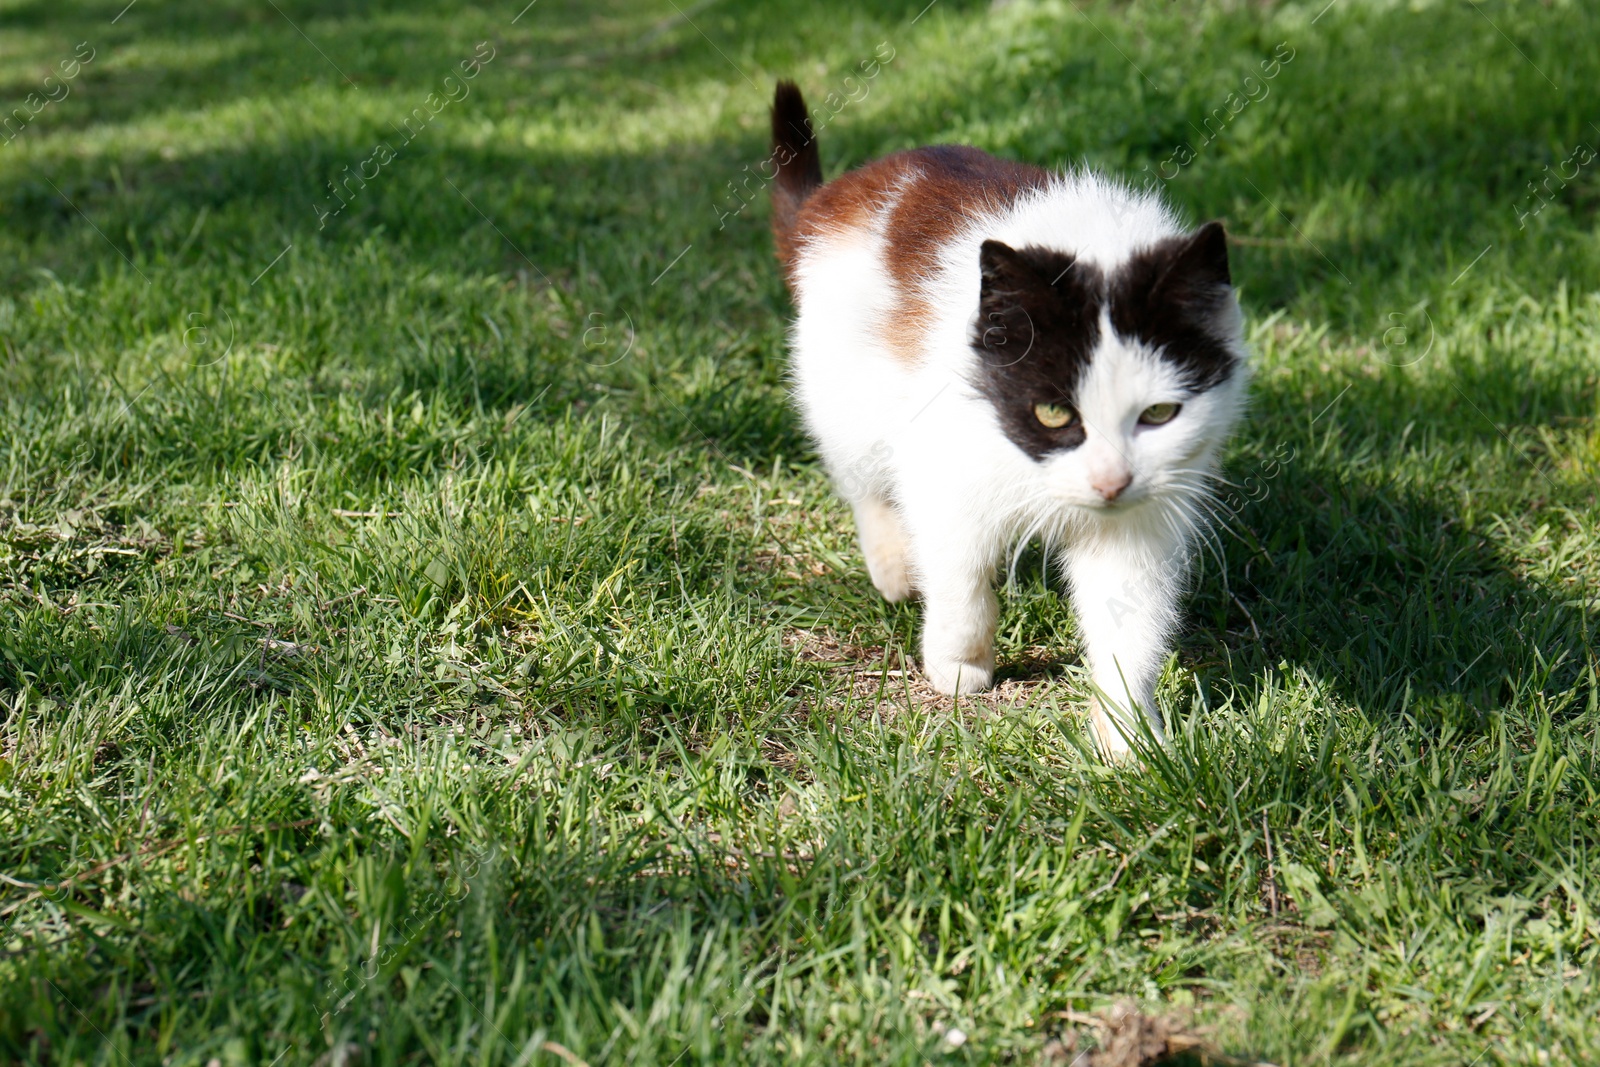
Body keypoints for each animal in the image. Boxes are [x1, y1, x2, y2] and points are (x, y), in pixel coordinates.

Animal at [764, 79, 1248, 755]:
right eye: (1052, 411)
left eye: (1158, 414)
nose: (1110, 482)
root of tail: (835, 196)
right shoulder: (943, 459)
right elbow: (959, 572)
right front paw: (959, 664)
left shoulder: (1144, 512)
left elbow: (1129, 617)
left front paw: (1128, 734)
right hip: (840, 391)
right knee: (863, 480)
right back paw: (893, 569)